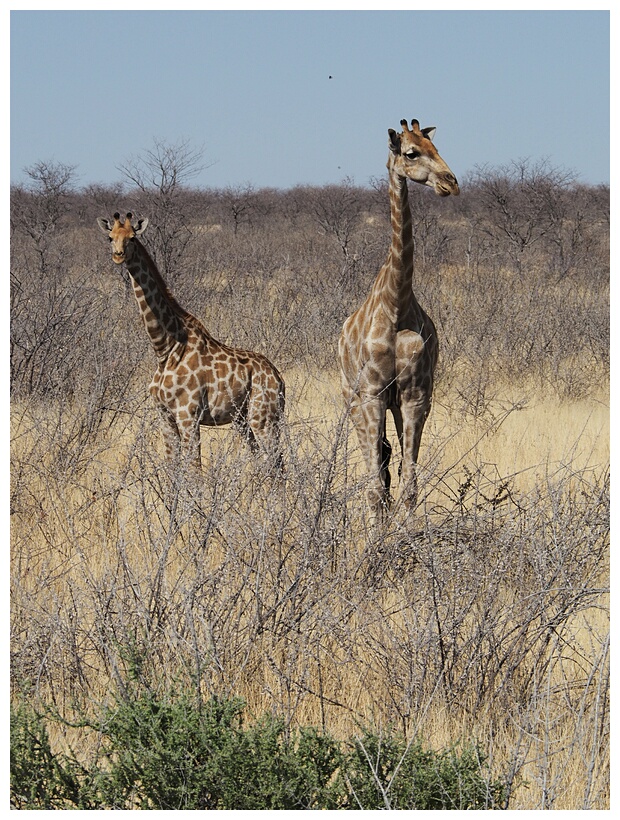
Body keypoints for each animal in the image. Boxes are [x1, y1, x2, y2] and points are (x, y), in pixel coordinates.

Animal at [97, 211, 286, 474]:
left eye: (132, 238)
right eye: (110, 237)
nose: (118, 255)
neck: (165, 348)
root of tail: (279, 378)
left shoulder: (188, 415)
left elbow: (195, 470)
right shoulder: (164, 415)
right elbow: (171, 466)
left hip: (264, 417)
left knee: (278, 463)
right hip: (243, 420)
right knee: (264, 461)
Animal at [336, 119, 458, 524]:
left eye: (436, 148)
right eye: (411, 153)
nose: (450, 183)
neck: (397, 303)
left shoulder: (416, 395)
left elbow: (410, 485)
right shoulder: (372, 393)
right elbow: (376, 487)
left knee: (393, 470)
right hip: (353, 401)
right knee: (376, 473)